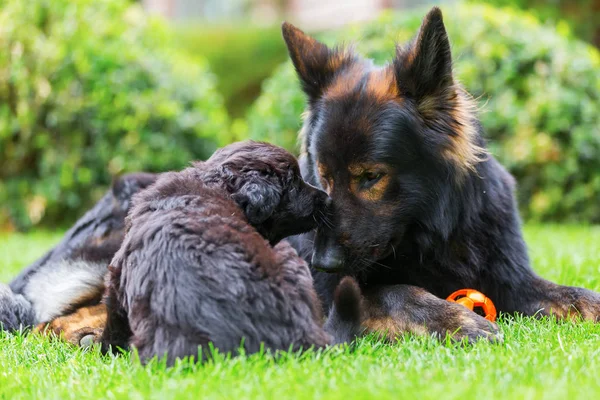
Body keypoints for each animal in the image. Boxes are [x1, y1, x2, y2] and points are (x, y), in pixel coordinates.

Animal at [282, 6, 600, 340]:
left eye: (371, 176)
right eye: (324, 177)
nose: (322, 264)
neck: (433, 232)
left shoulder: (513, 282)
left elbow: (573, 295)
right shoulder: (336, 298)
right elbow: (396, 292)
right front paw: (455, 318)